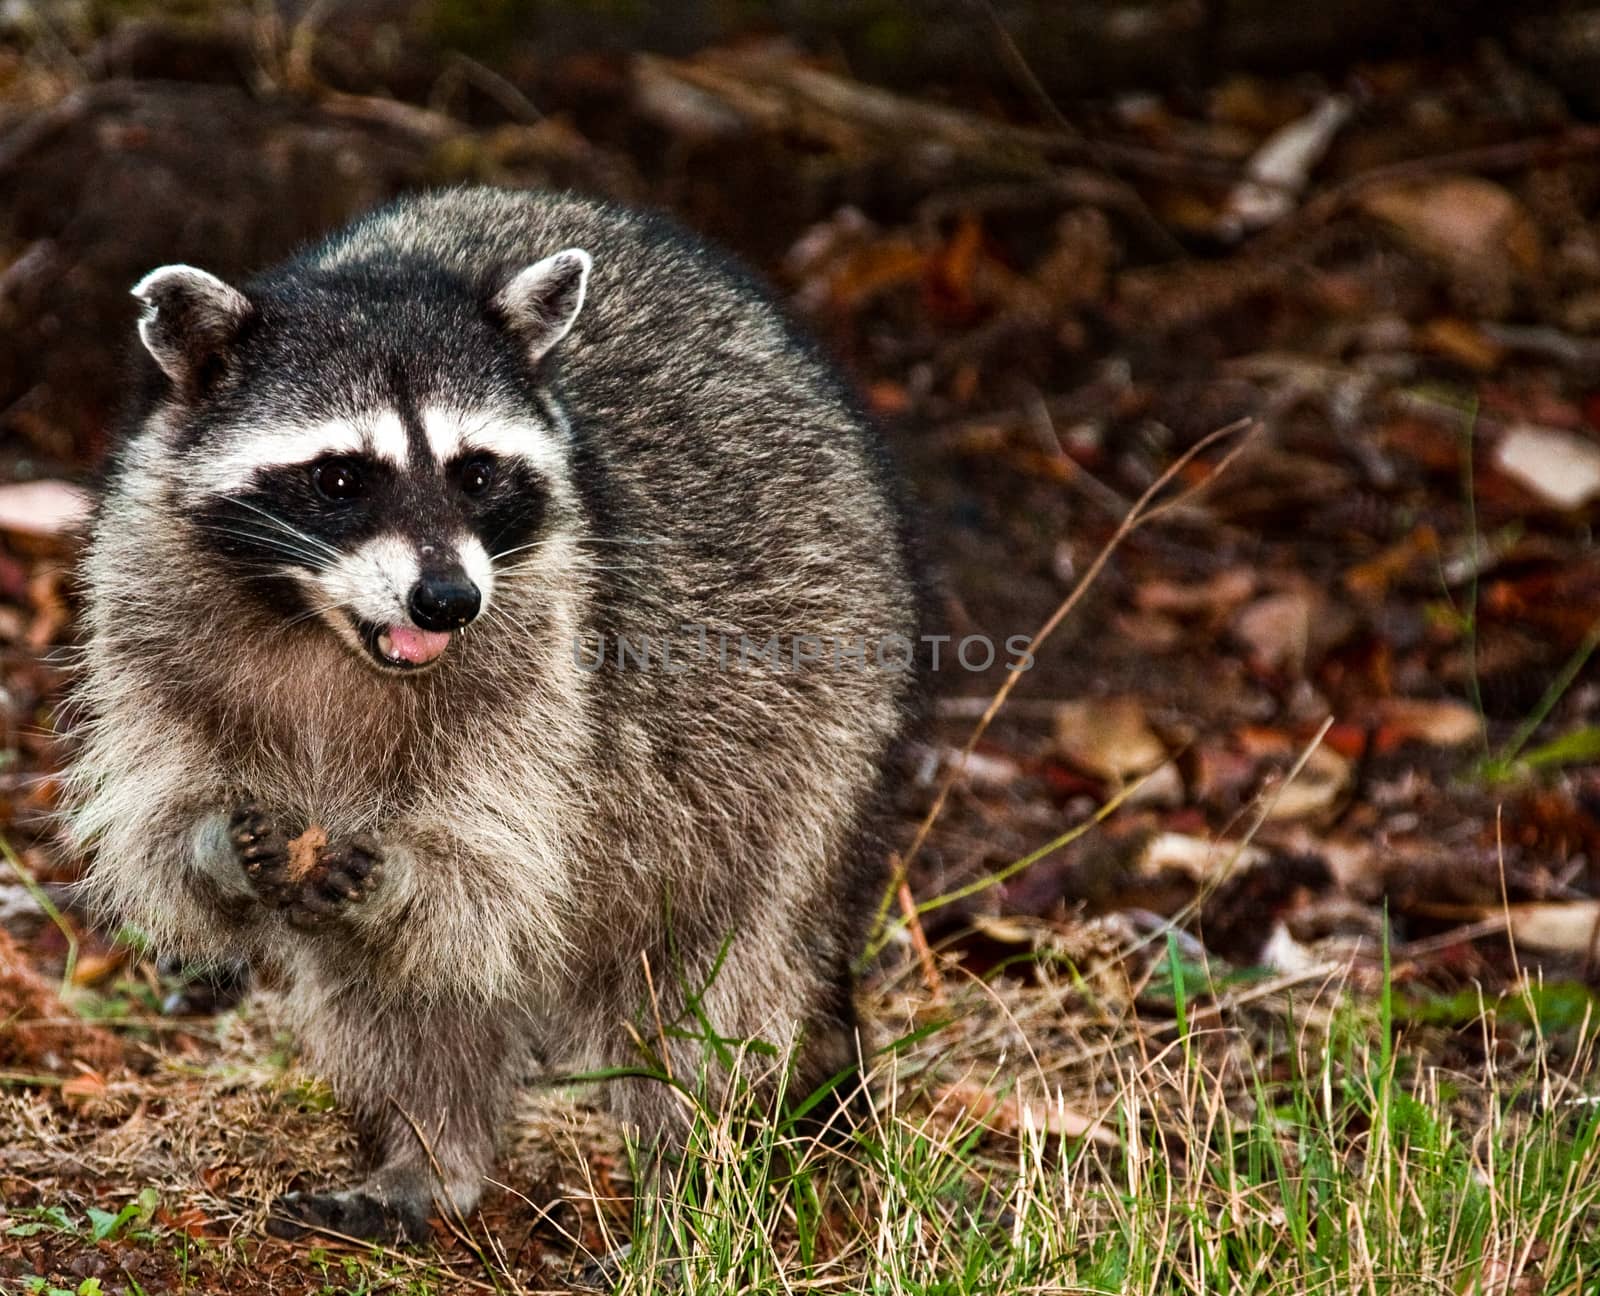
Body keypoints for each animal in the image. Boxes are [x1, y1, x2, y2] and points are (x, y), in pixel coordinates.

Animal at [62, 187, 928, 1235]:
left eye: (475, 472)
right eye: (340, 478)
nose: (447, 600)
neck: (325, 629)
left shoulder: (558, 662)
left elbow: (497, 862)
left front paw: (406, 872)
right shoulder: (145, 605)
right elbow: (157, 824)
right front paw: (212, 846)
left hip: (812, 723)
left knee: (710, 974)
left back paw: (693, 1182)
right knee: (396, 1000)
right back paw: (433, 1151)